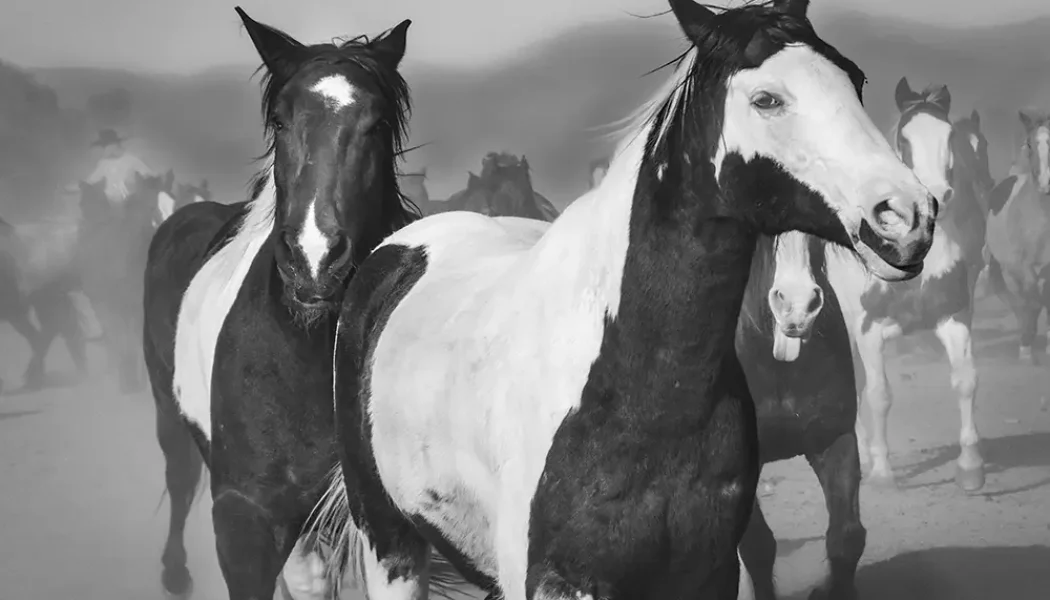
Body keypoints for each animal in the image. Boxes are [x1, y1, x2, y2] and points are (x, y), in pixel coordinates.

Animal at [141, 8, 425, 600]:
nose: (316, 261)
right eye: (279, 121)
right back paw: (174, 572)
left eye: (377, 124)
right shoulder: (243, 518)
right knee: (178, 477)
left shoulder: (387, 532)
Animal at [315, 2, 938, 600]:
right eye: (767, 99)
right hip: (391, 545)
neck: (637, 390)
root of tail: (398, 248)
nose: (908, 216)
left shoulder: (707, 575)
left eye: (854, 78)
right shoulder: (560, 582)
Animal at [826, 77, 993, 492]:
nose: (938, 196)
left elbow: (966, 380)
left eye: (949, 136)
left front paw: (970, 465)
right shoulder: (868, 331)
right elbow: (880, 395)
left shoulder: (954, 317)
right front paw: (883, 472)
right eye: (903, 139)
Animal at [984, 109, 1050, 365]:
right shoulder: (1024, 266)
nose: (1045, 184)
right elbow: (1034, 299)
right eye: (1030, 144)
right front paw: (1026, 349)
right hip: (1010, 267)